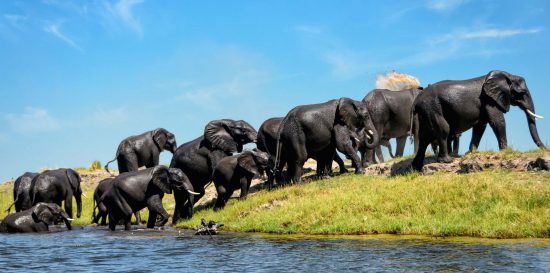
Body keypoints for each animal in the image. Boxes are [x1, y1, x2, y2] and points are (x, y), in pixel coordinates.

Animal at [414, 69, 548, 170]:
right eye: (523, 92)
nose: (546, 148)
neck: (508, 75)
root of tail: (416, 101)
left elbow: (480, 126)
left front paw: (471, 153)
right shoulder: (489, 99)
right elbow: (497, 121)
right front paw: (505, 151)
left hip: (426, 111)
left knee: (425, 136)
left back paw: (416, 167)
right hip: (432, 106)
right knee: (443, 129)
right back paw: (447, 160)